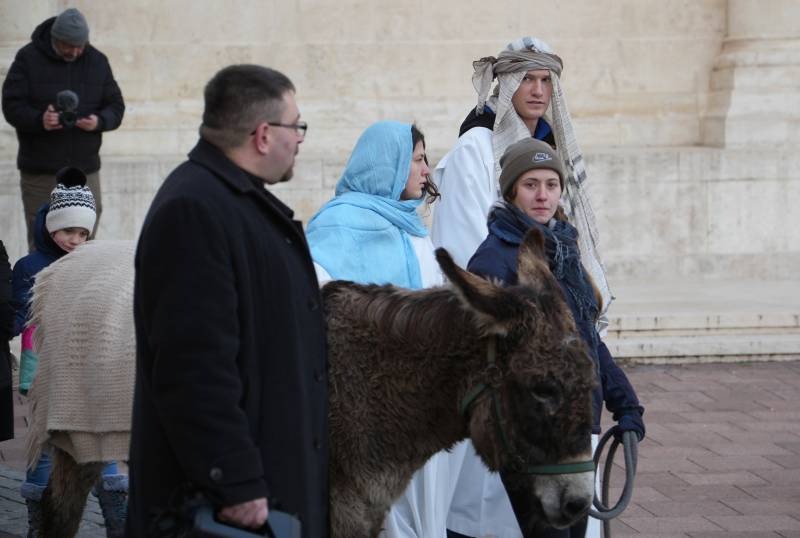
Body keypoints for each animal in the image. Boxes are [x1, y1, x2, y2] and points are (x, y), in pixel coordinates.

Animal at [26, 227, 596, 537]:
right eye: (542, 389)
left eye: (590, 384)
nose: (577, 504)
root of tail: (68, 262)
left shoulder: (364, 507)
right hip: (75, 436)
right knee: (59, 513)